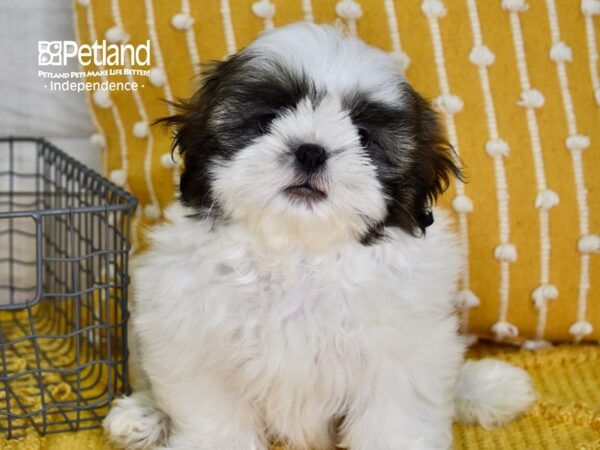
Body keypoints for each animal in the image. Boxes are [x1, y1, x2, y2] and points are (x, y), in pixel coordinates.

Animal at [103, 22, 536, 450]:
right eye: (267, 119)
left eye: (363, 135)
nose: (311, 151)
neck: (300, 252)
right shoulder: (193, 340)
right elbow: (215, 417)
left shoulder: (402, 352)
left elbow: (396, 417)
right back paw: (143, 415)